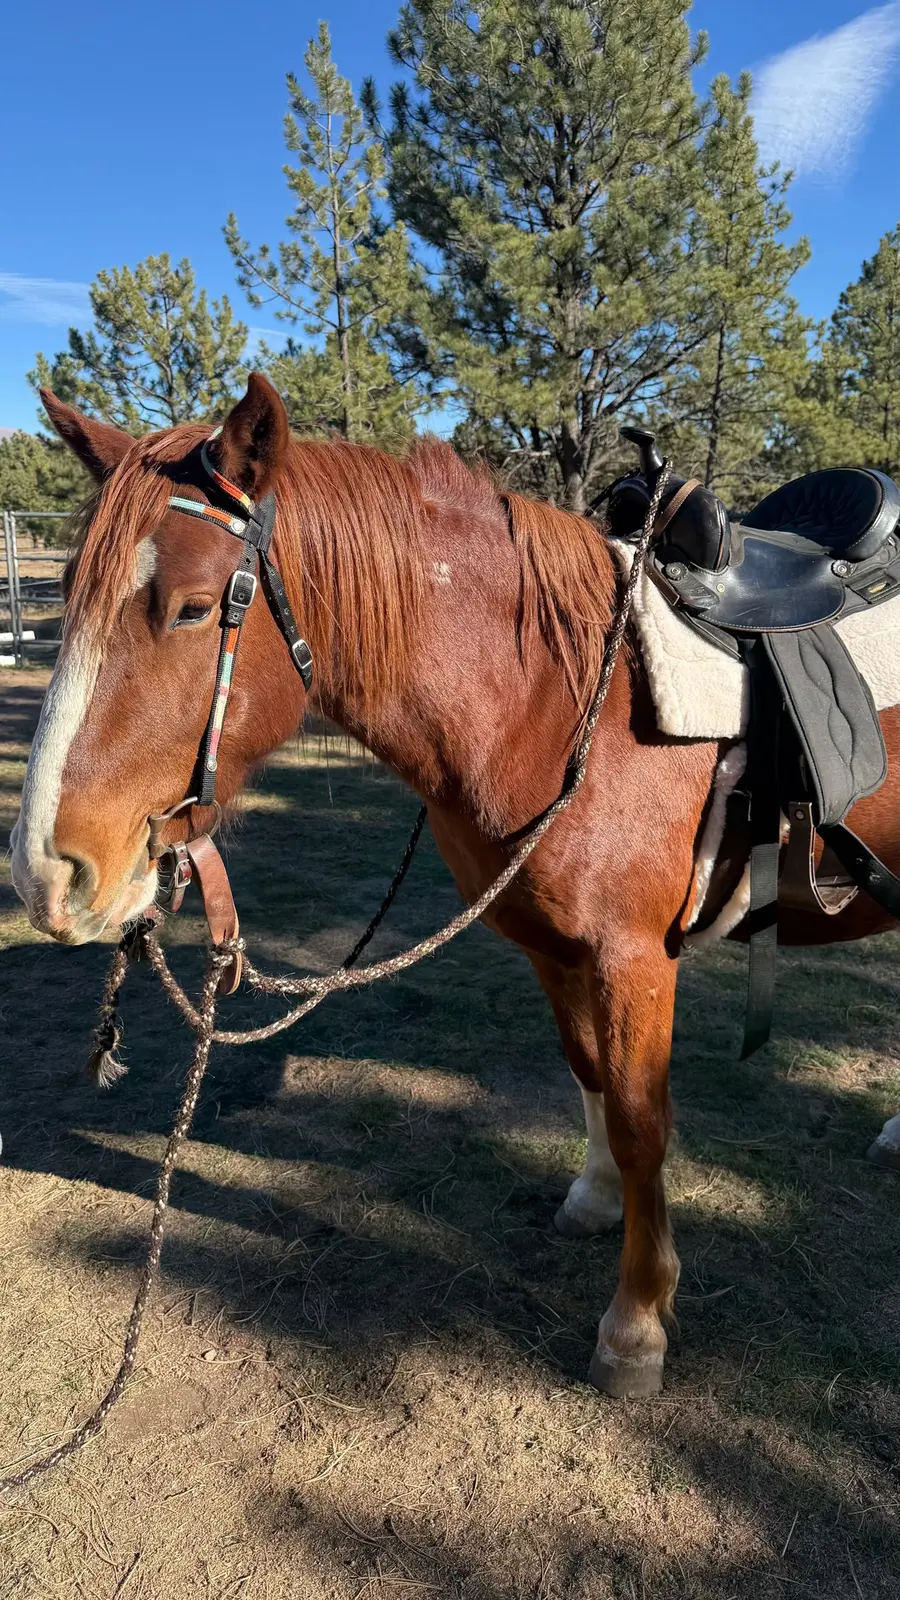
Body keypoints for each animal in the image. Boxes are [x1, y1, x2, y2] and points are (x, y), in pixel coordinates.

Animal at [11, 375, 900, 1398]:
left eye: (194, 610)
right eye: (67, 595)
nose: (47, 874)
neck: (552, 699)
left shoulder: (634, 959)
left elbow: (642, 1120)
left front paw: (636, 1324)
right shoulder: (551, 947)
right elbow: (591, 1078)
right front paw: (595, 1199)